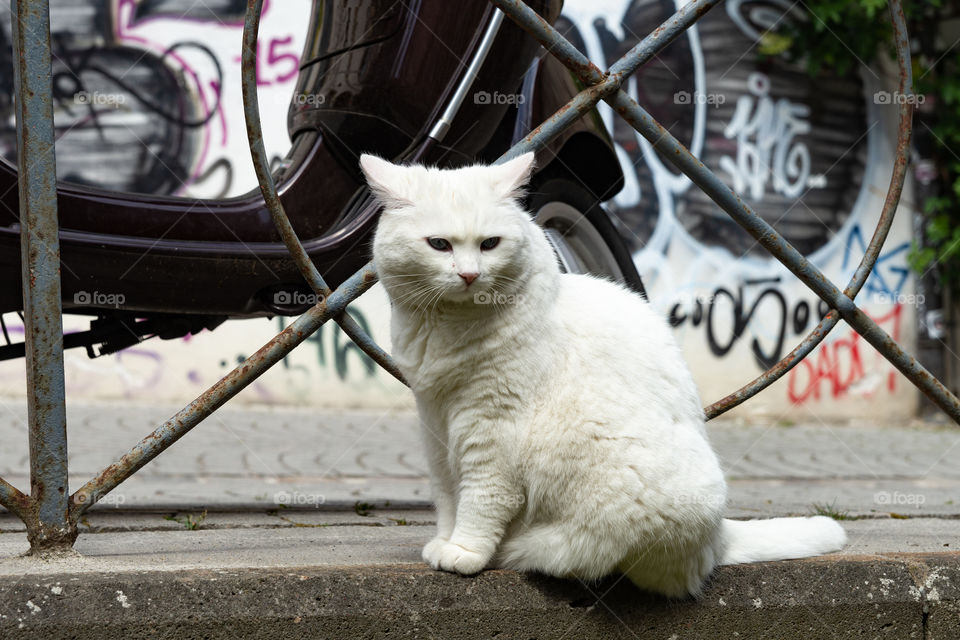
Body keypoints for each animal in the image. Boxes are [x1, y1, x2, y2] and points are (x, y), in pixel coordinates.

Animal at [360, 152, 848, 596]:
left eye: (490, 244)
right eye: (439, 245)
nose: (468, 275)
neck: (448, 326)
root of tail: (718, 535)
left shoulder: (492, 427)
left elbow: (482, 497)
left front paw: (466, 552)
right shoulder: (435, 420)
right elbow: (446, 493)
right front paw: (444, 541)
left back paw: (529, 551)